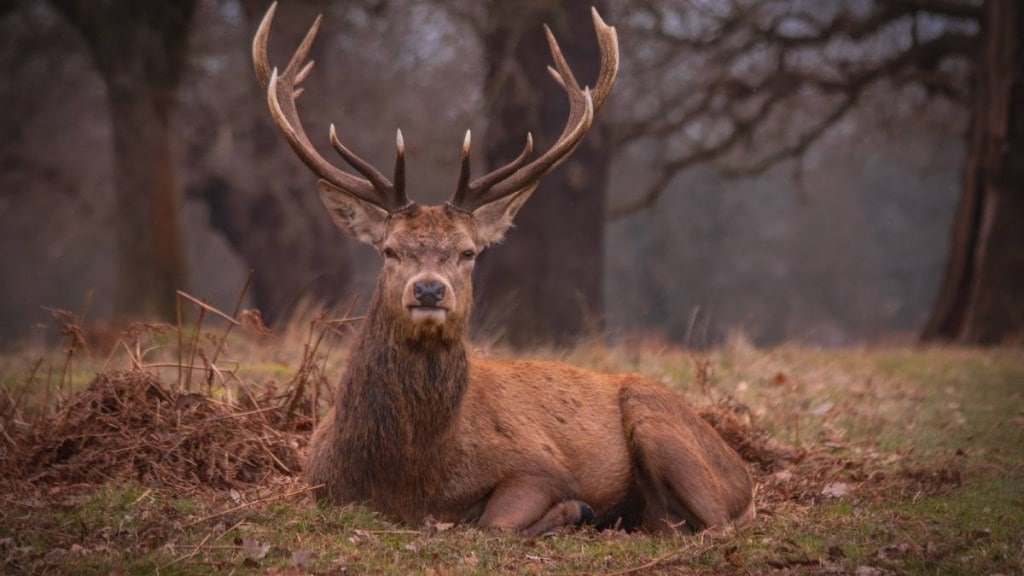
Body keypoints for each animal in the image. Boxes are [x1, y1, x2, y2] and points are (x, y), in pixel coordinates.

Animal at [253, 3, 755, 535]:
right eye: (389, 250)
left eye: (469, 252)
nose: (428, 290)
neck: (411, 480)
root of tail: (744, 476)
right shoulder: (319, 482)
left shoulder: (538, 465)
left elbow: (495, 521)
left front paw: (569, 510)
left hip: (659, 423)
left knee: (716, 524)